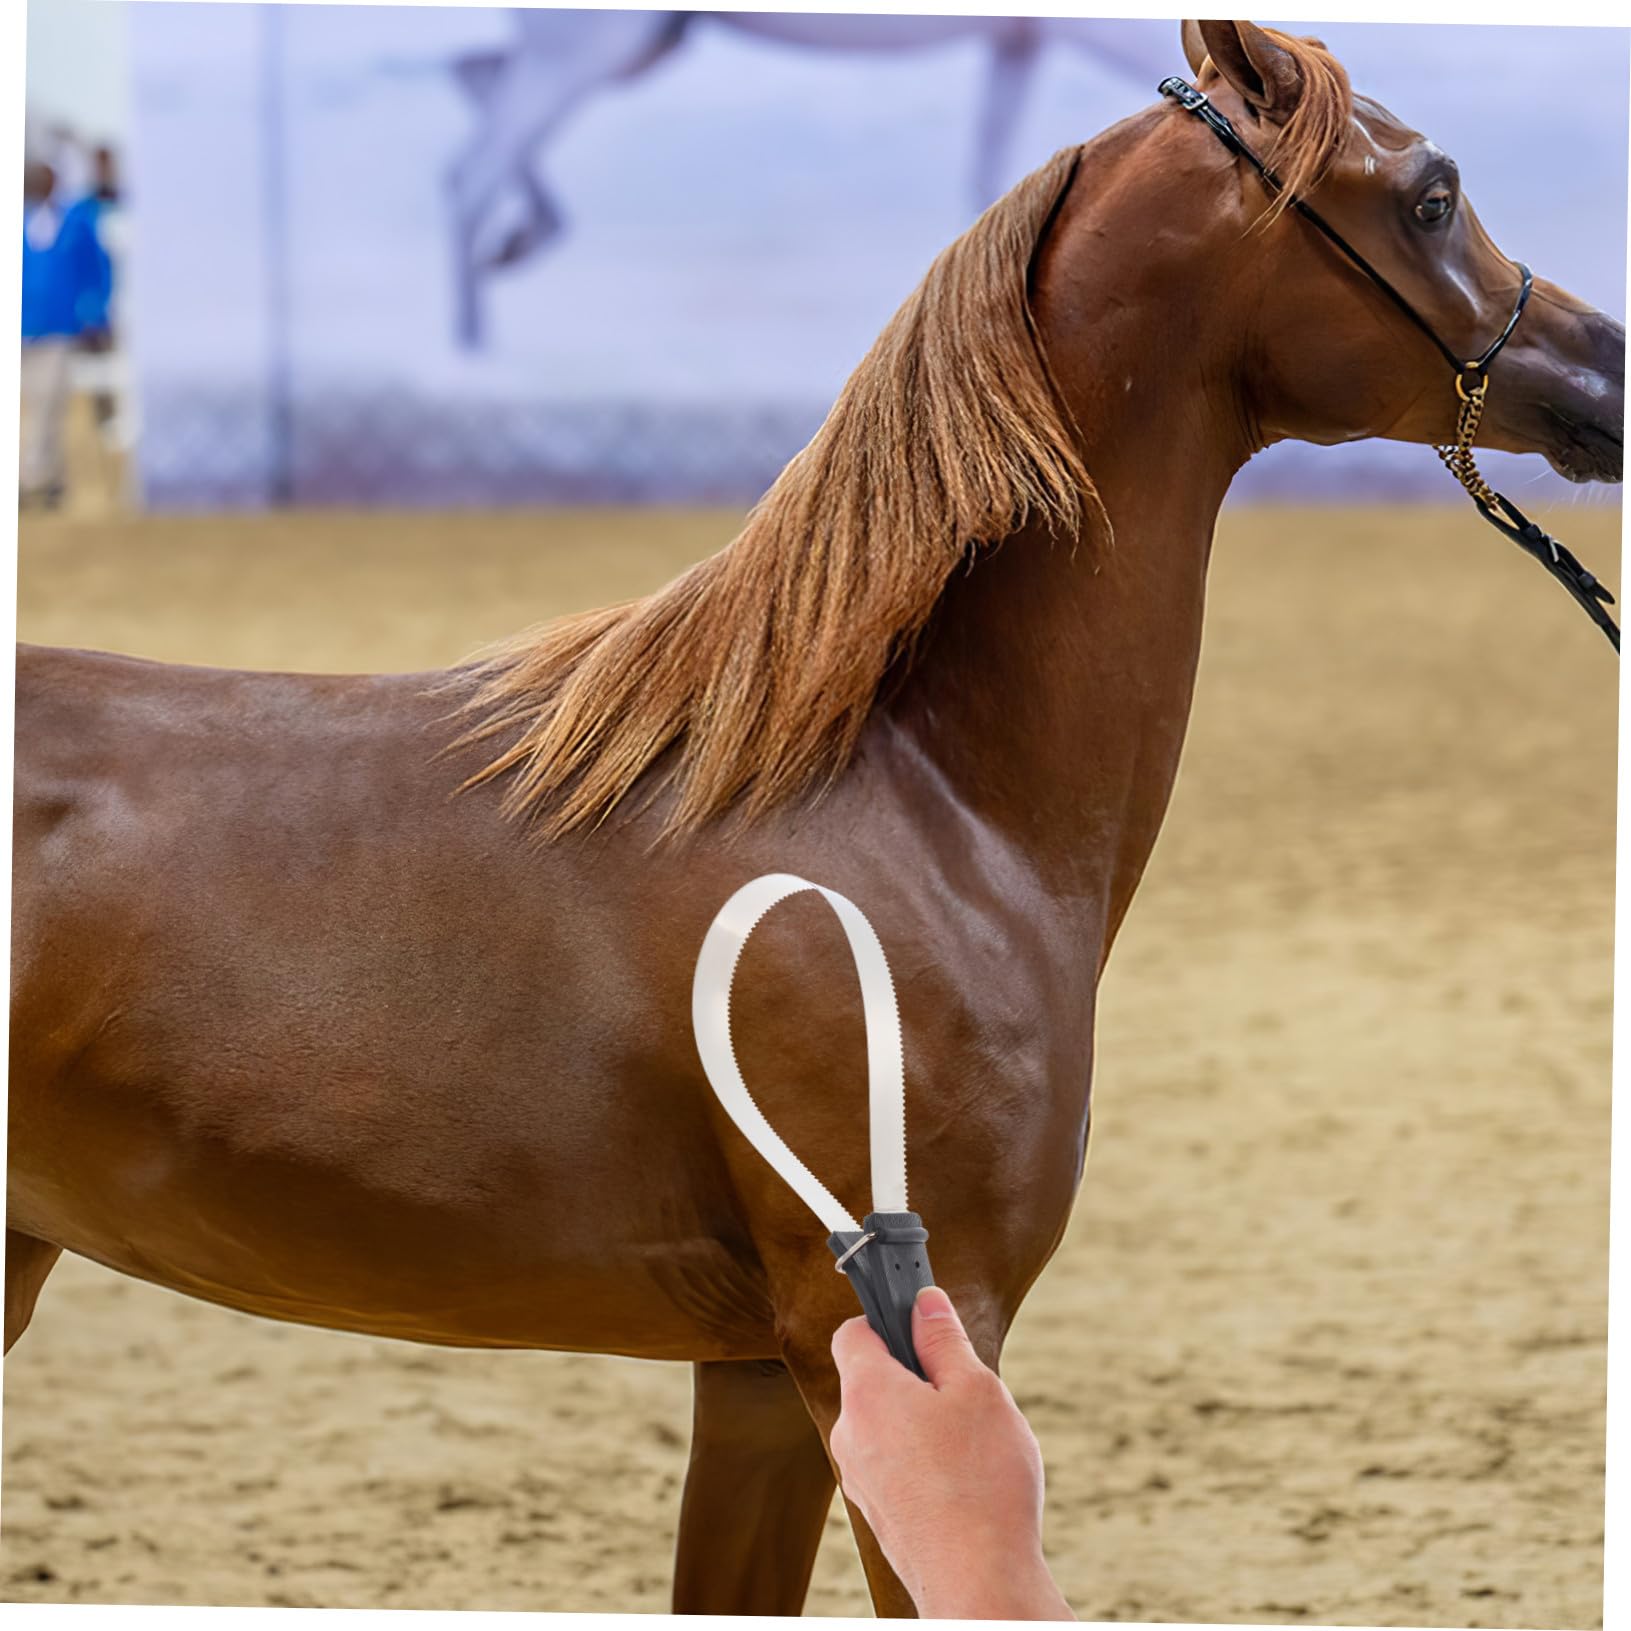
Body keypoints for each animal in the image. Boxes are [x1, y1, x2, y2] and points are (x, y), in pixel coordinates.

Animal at [445, 9, 1172, 346]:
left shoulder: (1018, 41)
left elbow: (988, 179)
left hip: (640, 44)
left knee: (475, 80)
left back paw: (509, 256)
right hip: (596, 45)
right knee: (470, 169)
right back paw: (475, 346)